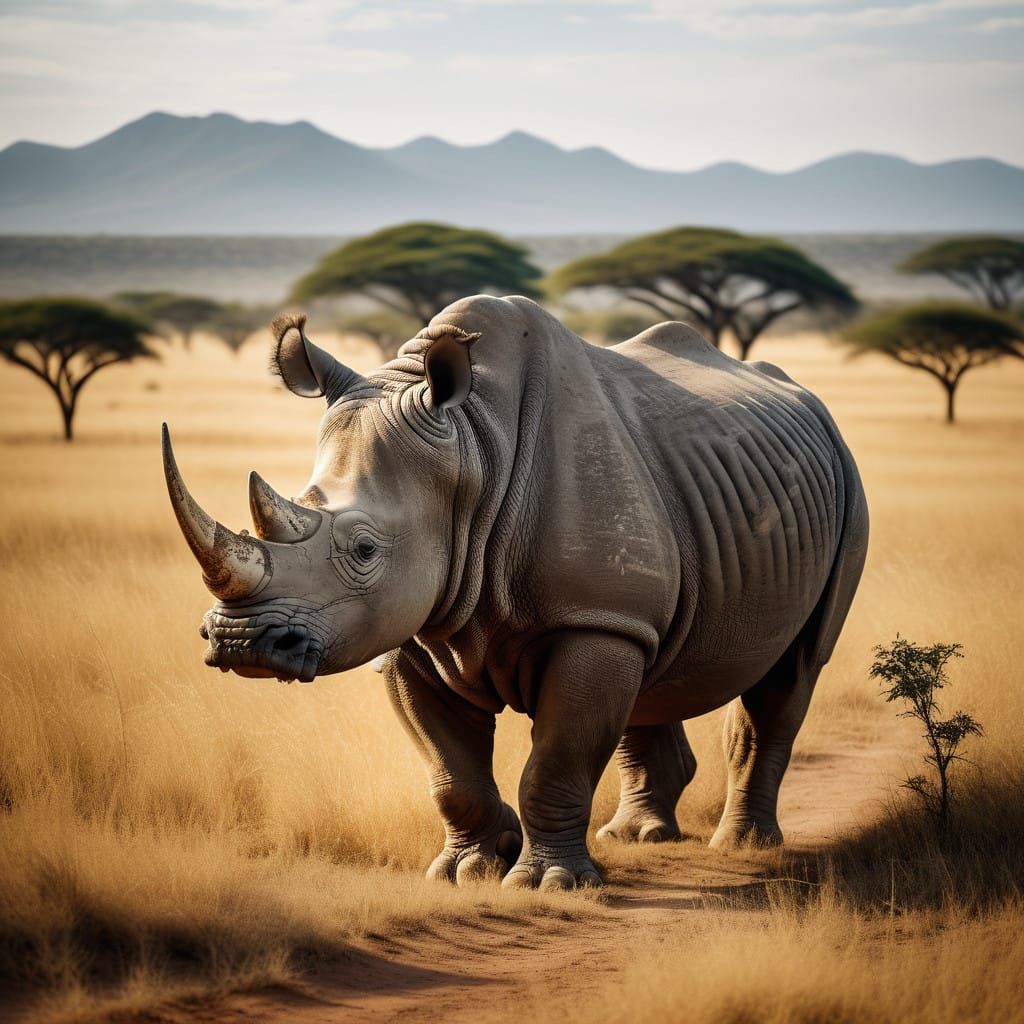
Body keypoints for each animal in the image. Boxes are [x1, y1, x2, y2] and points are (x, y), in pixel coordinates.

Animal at [162, 295, 868, 890]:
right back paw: (637, 838)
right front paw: (469, 869)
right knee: (650, 660)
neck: (472, 451)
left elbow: (556, 760)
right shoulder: (417, 630)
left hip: (846, 481)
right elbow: (450, 773)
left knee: (793, 670)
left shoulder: (588, 620)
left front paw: (546, 884)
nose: (240, 641)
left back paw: (743, 848)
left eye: (364, 550)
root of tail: (807, 399)